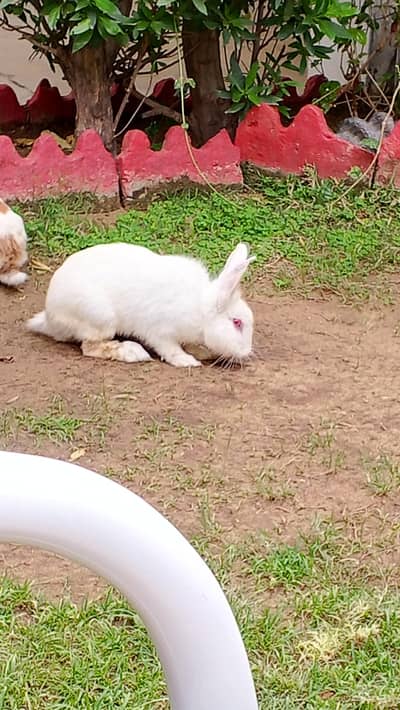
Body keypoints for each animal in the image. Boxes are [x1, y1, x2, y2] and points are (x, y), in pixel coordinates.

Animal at [27, 242, 255, 368]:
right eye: (237, 322)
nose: (246, 353)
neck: (199, 308)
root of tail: (50, 317)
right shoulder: (160, 332)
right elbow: (170, 349)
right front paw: (187, 361)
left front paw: (201, 352)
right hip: (101, 319)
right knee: (90, 347)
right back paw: (132, 352)